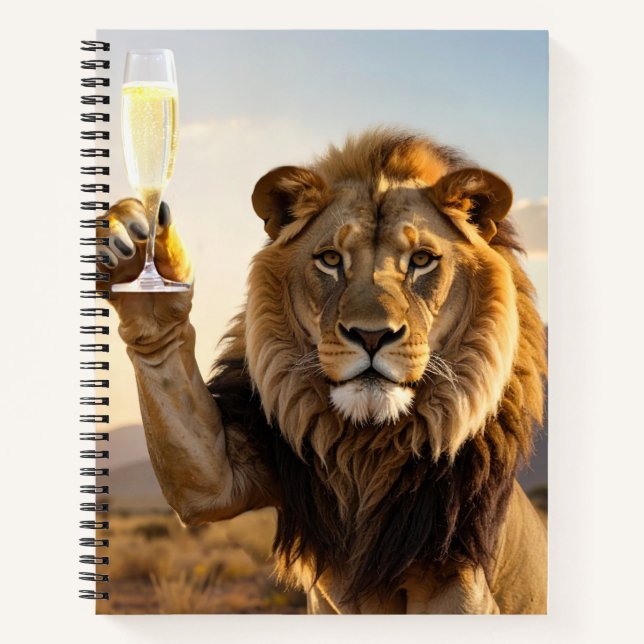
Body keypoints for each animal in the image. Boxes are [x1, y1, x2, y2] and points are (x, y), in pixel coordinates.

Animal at [100, 129, 547, 614]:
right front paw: (138, 260)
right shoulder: (230, 472)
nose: (371, 335)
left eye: (422, 260)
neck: (368, 444)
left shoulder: (459, 572)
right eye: (331, 260)